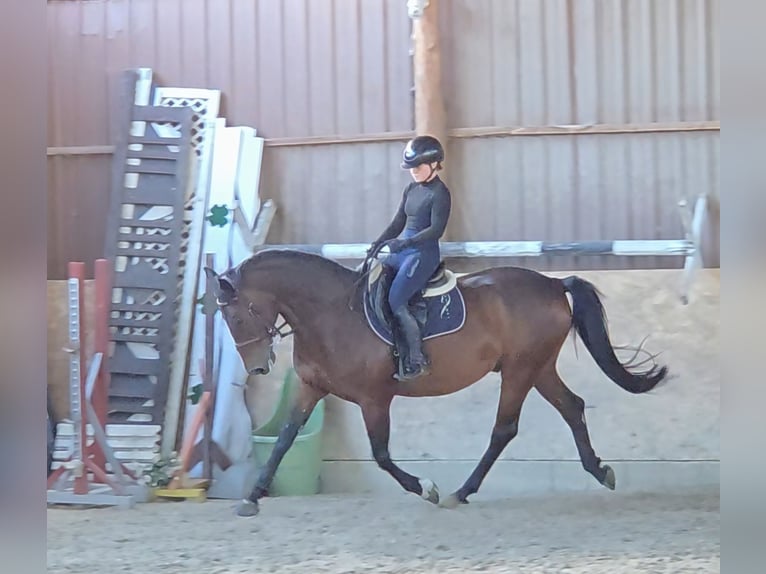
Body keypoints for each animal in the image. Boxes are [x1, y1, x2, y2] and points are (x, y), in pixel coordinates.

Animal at [205, 248, 668, 517]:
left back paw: (460, 492)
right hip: (538, 368)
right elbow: (284, 438)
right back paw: (600, 470)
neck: (331, 313)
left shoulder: (375, 398)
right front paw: (252, 497)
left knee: (505, 429)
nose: (258, 368)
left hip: (521, 369)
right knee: (572, 407)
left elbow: (381, 455)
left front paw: (425, 488)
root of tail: (553, 283)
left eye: (238, 316)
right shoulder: (311, 387)